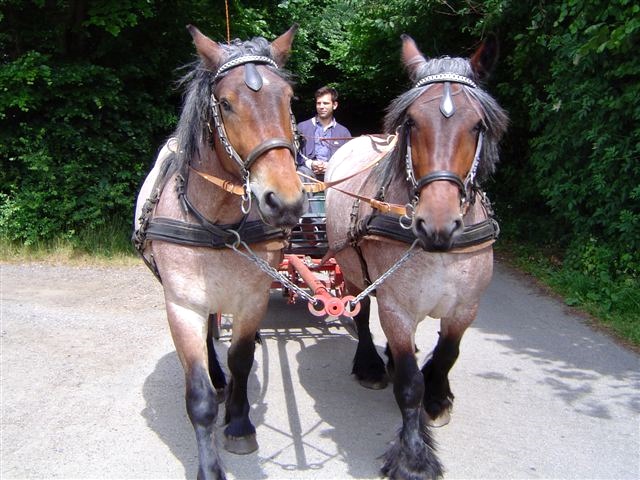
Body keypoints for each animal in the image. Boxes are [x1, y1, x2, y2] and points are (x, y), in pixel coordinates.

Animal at [133, 25, 305, 480]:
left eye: (288, 98)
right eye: (225, 103)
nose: (285, 201)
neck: (220, 224)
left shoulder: (253, 298)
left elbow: (242, 359)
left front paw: (240, 424)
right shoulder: (181, 305)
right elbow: (199, 393)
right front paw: (209, 465)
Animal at [325, 34, 508, 479]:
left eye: (477, 125)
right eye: (411, 123)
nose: (436, 223)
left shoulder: (466, 306)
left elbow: (447, 353)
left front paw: (438, 396)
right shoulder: (396, 307)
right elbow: (409, 383)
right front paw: (412, 456)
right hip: (353, 272)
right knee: (361, 314)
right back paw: (371, 365)